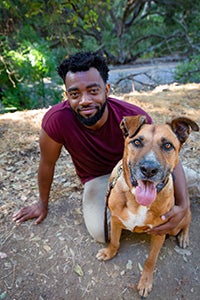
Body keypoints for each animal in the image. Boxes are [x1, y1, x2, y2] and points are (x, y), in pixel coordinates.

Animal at [96, 115, 198, 298]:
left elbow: (151, 260)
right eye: (137, 142)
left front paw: (145, 282)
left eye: (167, 145)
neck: (137, 201)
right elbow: (114, 241)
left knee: (187, 220)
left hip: (175, 225)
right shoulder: (115, 220)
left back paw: (184, 237)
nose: (149, 169)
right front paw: (109, 252)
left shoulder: (160, 233)